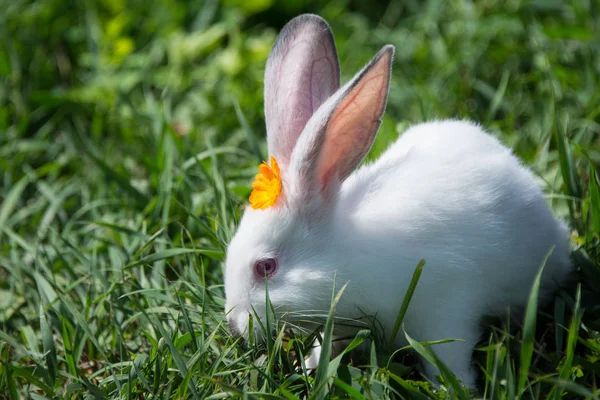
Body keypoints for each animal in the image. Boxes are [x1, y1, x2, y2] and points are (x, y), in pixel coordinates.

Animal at [223, 14, 568, 388]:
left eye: (266, 267)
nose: (236, 327)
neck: (344, 253)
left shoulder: (445, 310)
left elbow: (448, 358)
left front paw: (455, 388)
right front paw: (309, 370)